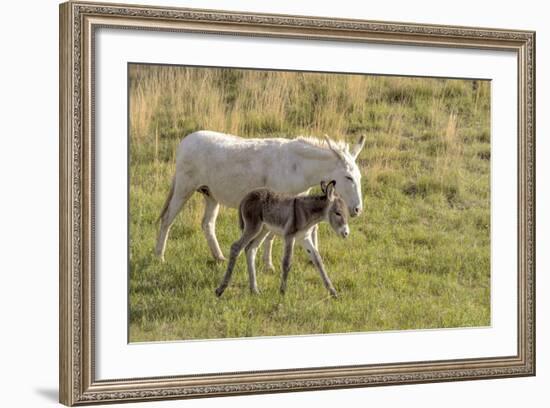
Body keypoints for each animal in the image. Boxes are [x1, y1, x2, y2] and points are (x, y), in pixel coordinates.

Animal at [216, 180, 350, 298]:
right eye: (338, 213)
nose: (346, 233)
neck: (307, 213)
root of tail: (246, 196)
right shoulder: (289, 236)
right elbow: (287, 262)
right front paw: (282, 292)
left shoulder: (304, 238)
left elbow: (318, 260)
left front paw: (333, 292)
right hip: (252, 227)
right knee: (236, 247)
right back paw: (220, 290)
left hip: (263, 230)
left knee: (251, 249)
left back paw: (254, 290)